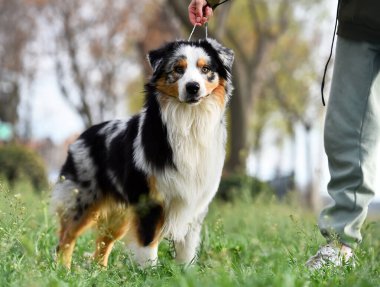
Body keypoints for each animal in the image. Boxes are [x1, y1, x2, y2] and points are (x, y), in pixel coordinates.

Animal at [50, 38, 235, 270]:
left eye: (206, 69)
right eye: (178, 69)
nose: (193, 87)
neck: (189, 121)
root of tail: (82, 135)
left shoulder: (194, 201)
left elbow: (187, 248)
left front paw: (185, 272)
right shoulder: (150, 201)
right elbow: (147, 244)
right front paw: (149, 272)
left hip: (118, 215)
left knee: (102, 244)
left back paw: (99, 272)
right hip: (81, 199)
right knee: (66, 238)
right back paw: (62, 270)